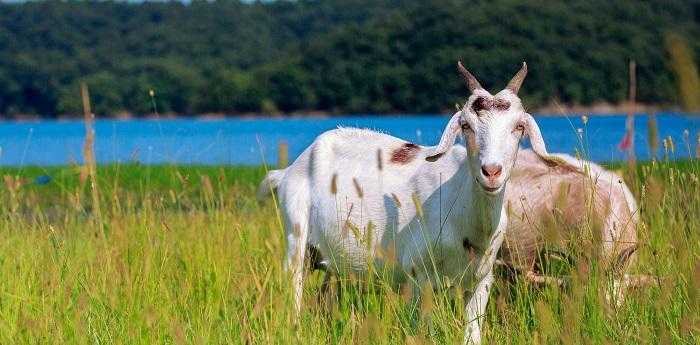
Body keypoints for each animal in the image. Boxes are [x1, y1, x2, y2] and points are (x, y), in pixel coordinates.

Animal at [260, 61, 560, 344]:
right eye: (466, 126)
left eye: (519, 127)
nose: (492, 171)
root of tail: (289, 170)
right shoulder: (418, 277)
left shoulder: (481, 280)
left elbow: (472, 333)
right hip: (296, 237)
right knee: (295, 289)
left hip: (333, 260)